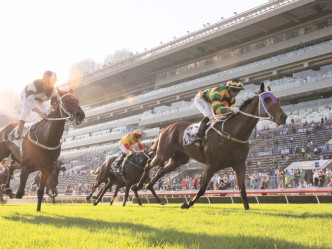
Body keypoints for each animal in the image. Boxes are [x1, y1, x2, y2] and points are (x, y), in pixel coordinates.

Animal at [134, 83, 286, 210]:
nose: (283, 117)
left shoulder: (239, 164)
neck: (233, 132)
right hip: (163, 154)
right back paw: (138, 186)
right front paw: (187, 204)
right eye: (267, 99)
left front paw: (247, 208)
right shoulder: (211, 165)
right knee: (148, 165)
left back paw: (152, 190)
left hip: (178, 159)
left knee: (161, 171)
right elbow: (202, 189)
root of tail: (166, 128)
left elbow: (242, 190)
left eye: (277, 100)